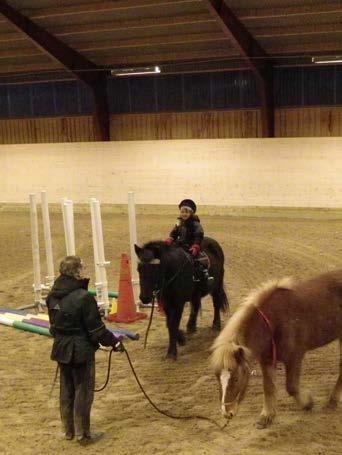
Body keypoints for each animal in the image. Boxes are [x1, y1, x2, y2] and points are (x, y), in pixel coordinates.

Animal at [210, 272, 342, 430]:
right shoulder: (266, 361)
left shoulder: (294, 357)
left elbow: (291, 387)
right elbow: (268, 387)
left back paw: (333, 401)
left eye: (236, 378)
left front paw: (307, 403)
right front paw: (266, 416)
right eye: (217, 377)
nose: (226, 412)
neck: (274, 321)